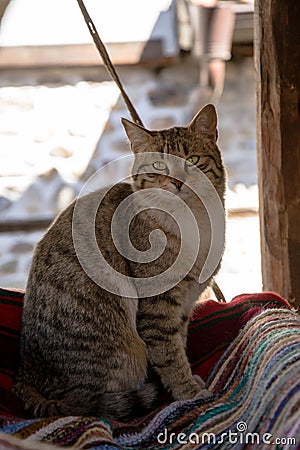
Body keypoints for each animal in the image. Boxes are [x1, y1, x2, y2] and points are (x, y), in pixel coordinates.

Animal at [13, 103, 225, 420]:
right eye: (159, 166)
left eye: (193, 160)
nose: (177, 182)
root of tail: (25, 374)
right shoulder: (158, 306)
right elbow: (169, 353)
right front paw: (186, 390)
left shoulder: (185, 304)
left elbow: (179, 342)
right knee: (83, 403)